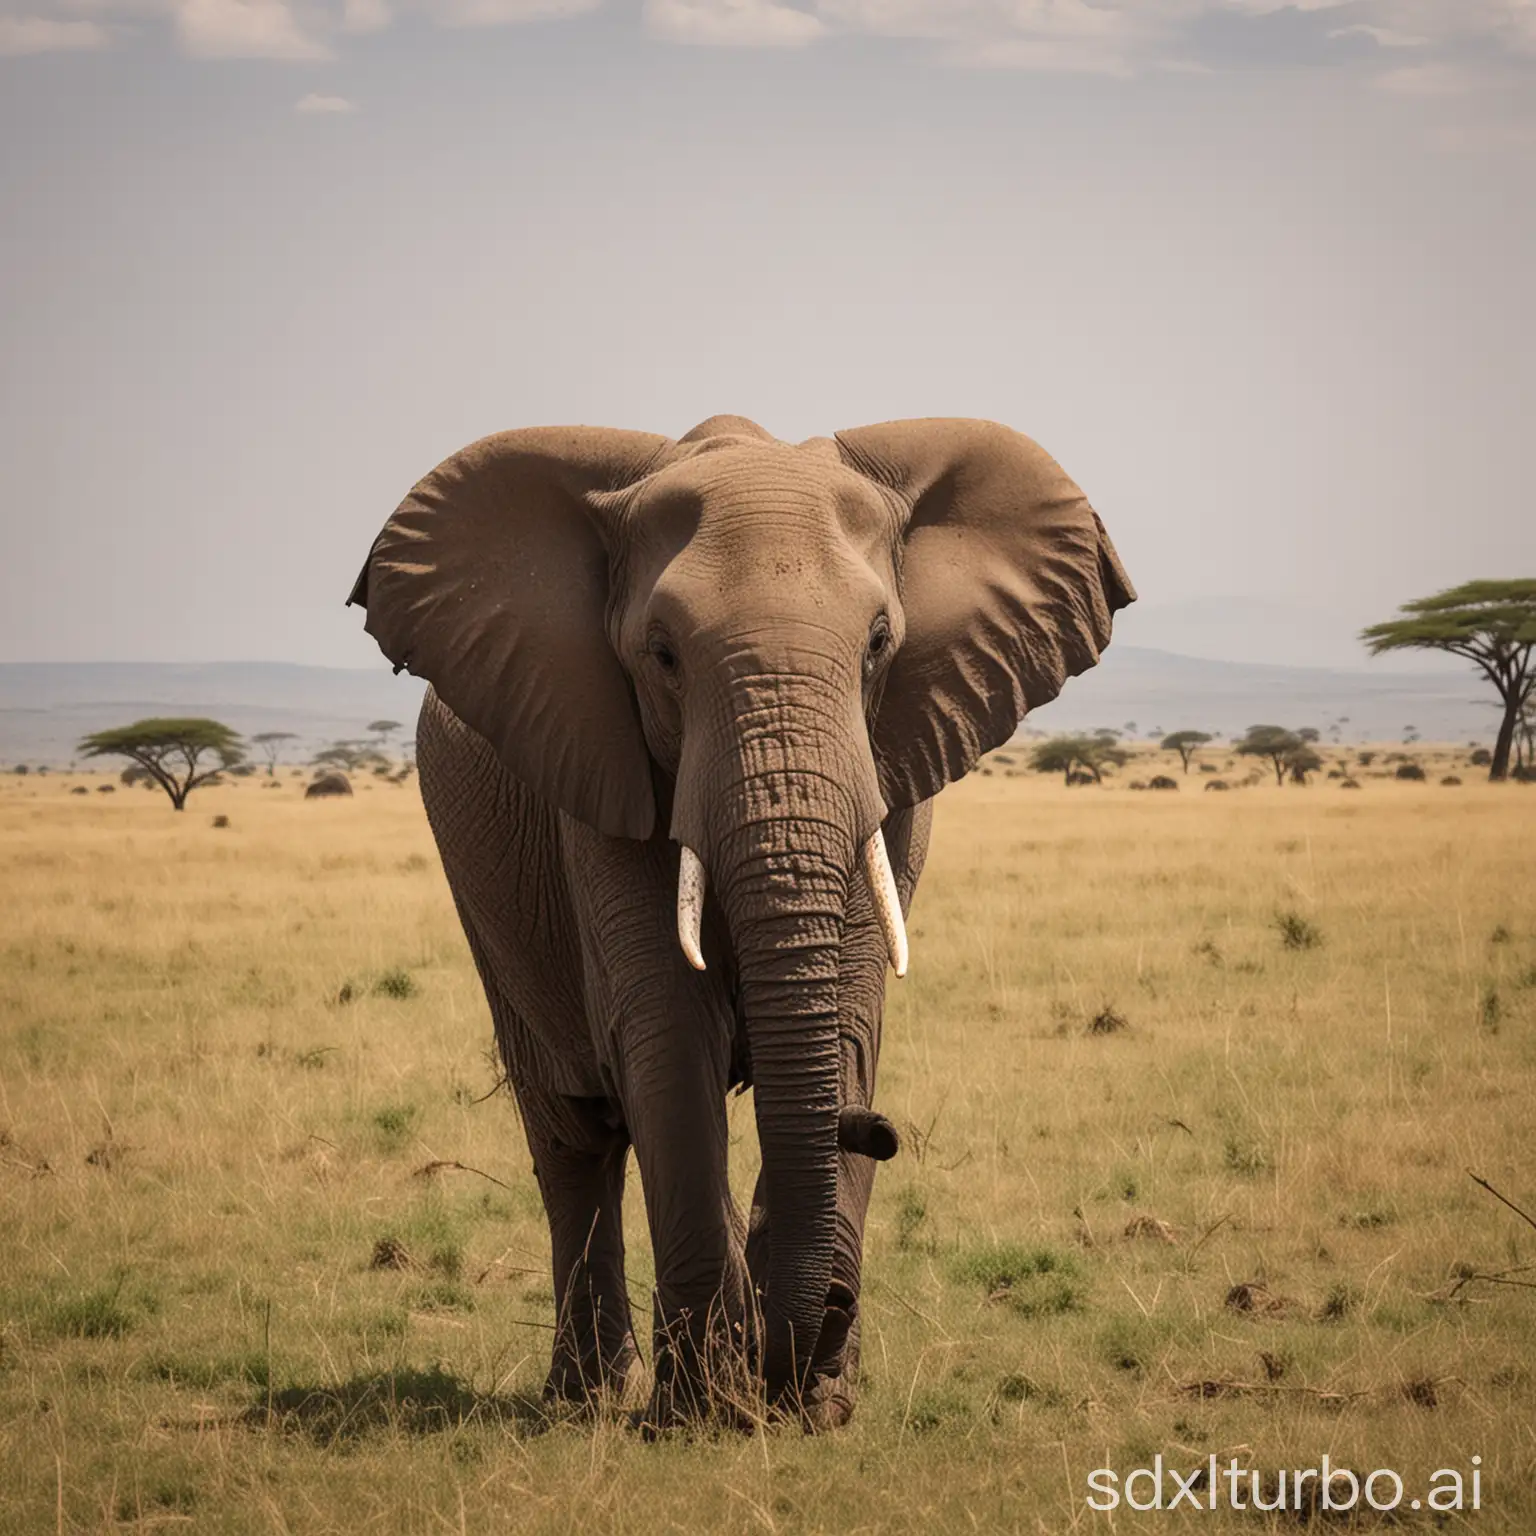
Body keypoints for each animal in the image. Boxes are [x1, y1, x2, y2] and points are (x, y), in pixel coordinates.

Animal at [351, 417, 1142, 1425]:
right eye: (662, 655)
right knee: (571, 1135)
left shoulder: (897, 774)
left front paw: (813, 1405)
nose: (876, 1128)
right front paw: (702, 1414)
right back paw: (586, 1400)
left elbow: (850, 1021)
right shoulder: (596, 772)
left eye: (879, 643)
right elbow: (666, 1039)